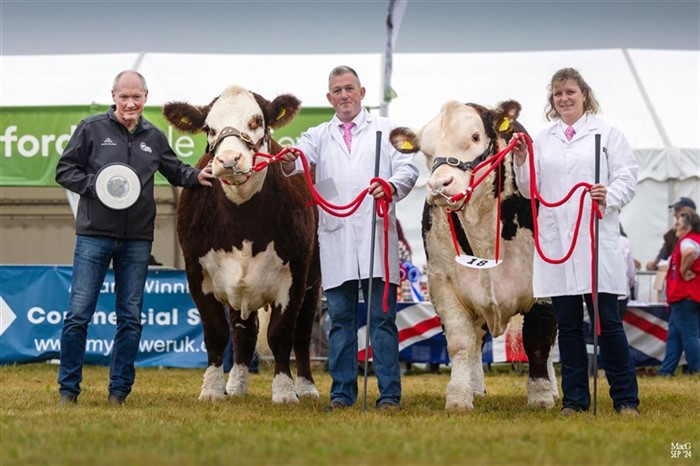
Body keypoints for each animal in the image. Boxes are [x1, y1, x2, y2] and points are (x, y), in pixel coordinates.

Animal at [388, 100, 556, 410]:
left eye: (475, 137)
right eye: (426, 150)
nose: (439, 186)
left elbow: (539, 339)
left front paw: (541, 395)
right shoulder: (442, 282)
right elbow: (460, 341)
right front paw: (458, 396)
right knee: (477, 338)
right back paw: (476, 387)